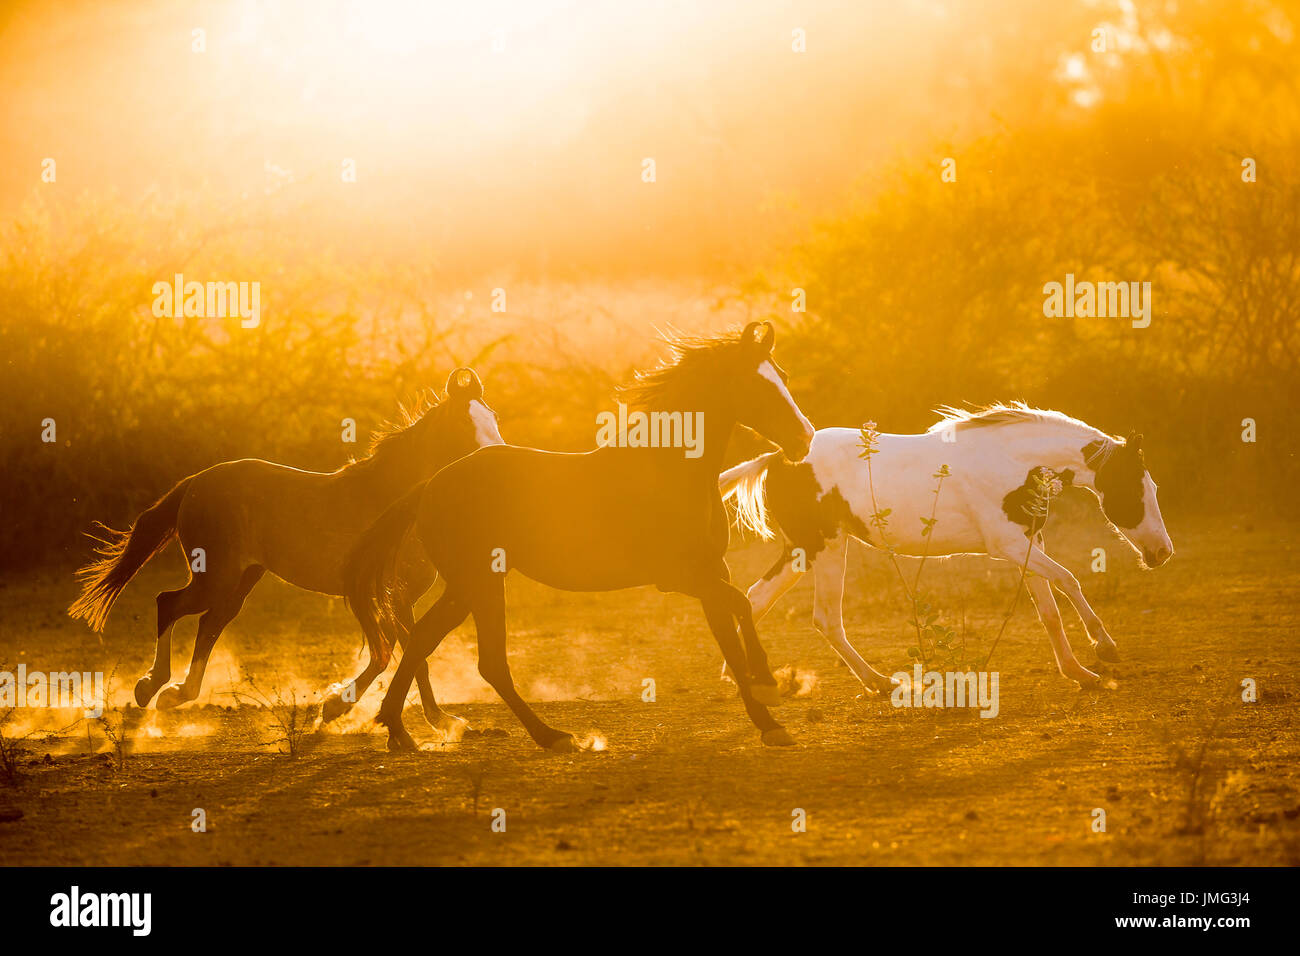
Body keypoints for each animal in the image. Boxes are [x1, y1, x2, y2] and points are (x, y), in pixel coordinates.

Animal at [68, 368, 504, 732]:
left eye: (493, 418)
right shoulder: (374, 594)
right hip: (215, 577)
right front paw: (335, 707)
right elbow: (389, 653)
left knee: (209, 624)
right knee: (169, 603)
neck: (389, 502)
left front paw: (441, 720)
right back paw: (151, 688)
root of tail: (196, 482)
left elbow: (416, 653)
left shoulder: (402, 598)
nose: (496, 462)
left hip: (240, 580)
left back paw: (177, 694)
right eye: (464, 423)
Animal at [344, 321, 816, 752]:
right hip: (479, 582)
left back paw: (401, 731)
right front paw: (770, 684)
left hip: (467, 587)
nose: (804, 439)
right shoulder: (680, 577)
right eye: (755, 382)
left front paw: (770, 722)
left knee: (429, 640)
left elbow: (733, 637)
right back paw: (549, 736)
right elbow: (743, 605)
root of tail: (431, 485)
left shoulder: (711, 572)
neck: (671, 472)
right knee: (484, 659)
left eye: (783, 375)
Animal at [720, 402, 1174, 690]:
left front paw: (1079, 674)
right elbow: (1070, 580)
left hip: (804, 552)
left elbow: (1049, 612)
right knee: (826, 618)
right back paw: (879, 683)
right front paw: (1106, 647)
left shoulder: (1028, 545)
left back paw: (739, 675)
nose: (1162, 553)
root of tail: (775, 458)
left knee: (756, 598)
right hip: (826, 549)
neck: (1010, 462)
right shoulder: (1007, 545)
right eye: (1137, 491)